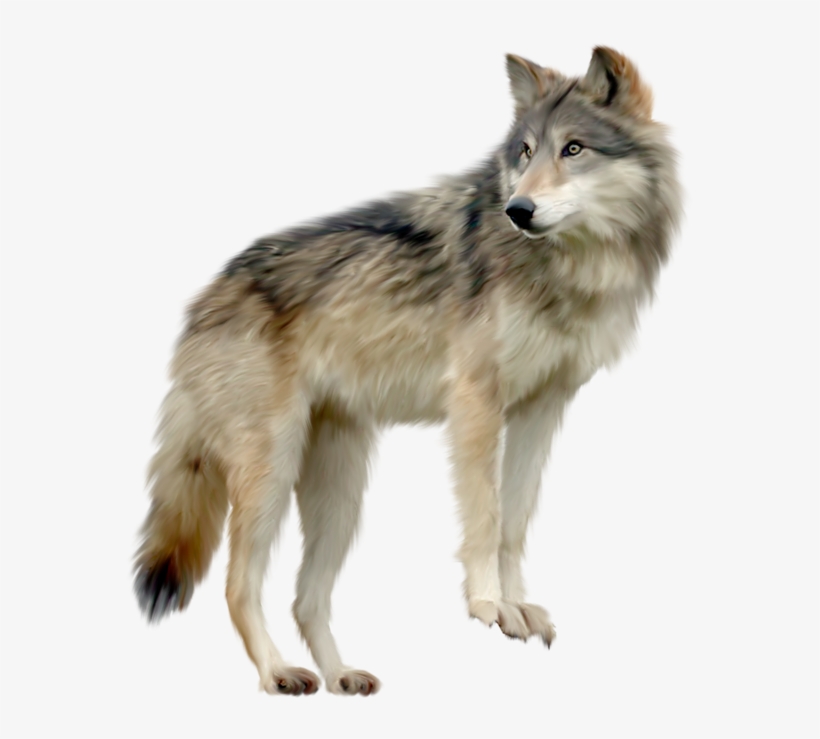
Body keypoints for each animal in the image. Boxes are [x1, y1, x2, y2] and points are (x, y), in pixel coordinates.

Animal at [134, 47, 681, 696]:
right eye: (525, 152)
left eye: (573, 148)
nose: (518, 210)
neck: (570, 267)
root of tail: (206, 297)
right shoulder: (476, 400)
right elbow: (485, 515)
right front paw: (489, 605)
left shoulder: (541, 408)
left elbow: (514, 521)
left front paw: (518, 606)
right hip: (271, 471)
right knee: (238, 585)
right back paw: (278, 674)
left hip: (341, 493)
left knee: (305, 599)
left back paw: (341, 676)